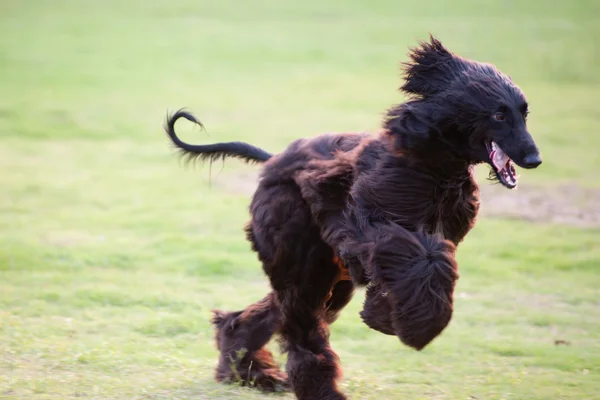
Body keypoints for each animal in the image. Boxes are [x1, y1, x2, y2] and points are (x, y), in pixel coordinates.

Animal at [162, 36, 540, 398]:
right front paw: (410, 325)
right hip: (300, 260)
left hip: (326, 273)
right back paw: (314, 389)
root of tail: (273, 162)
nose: (534, 158)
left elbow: (423, 266)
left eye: (524, 112)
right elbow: (420, 261)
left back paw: (244, 370)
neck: (433, 166)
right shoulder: (370, 227)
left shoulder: (426, 235)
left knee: (268, 314)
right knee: (301, 325)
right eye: (499, 115)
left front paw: (387, 315)